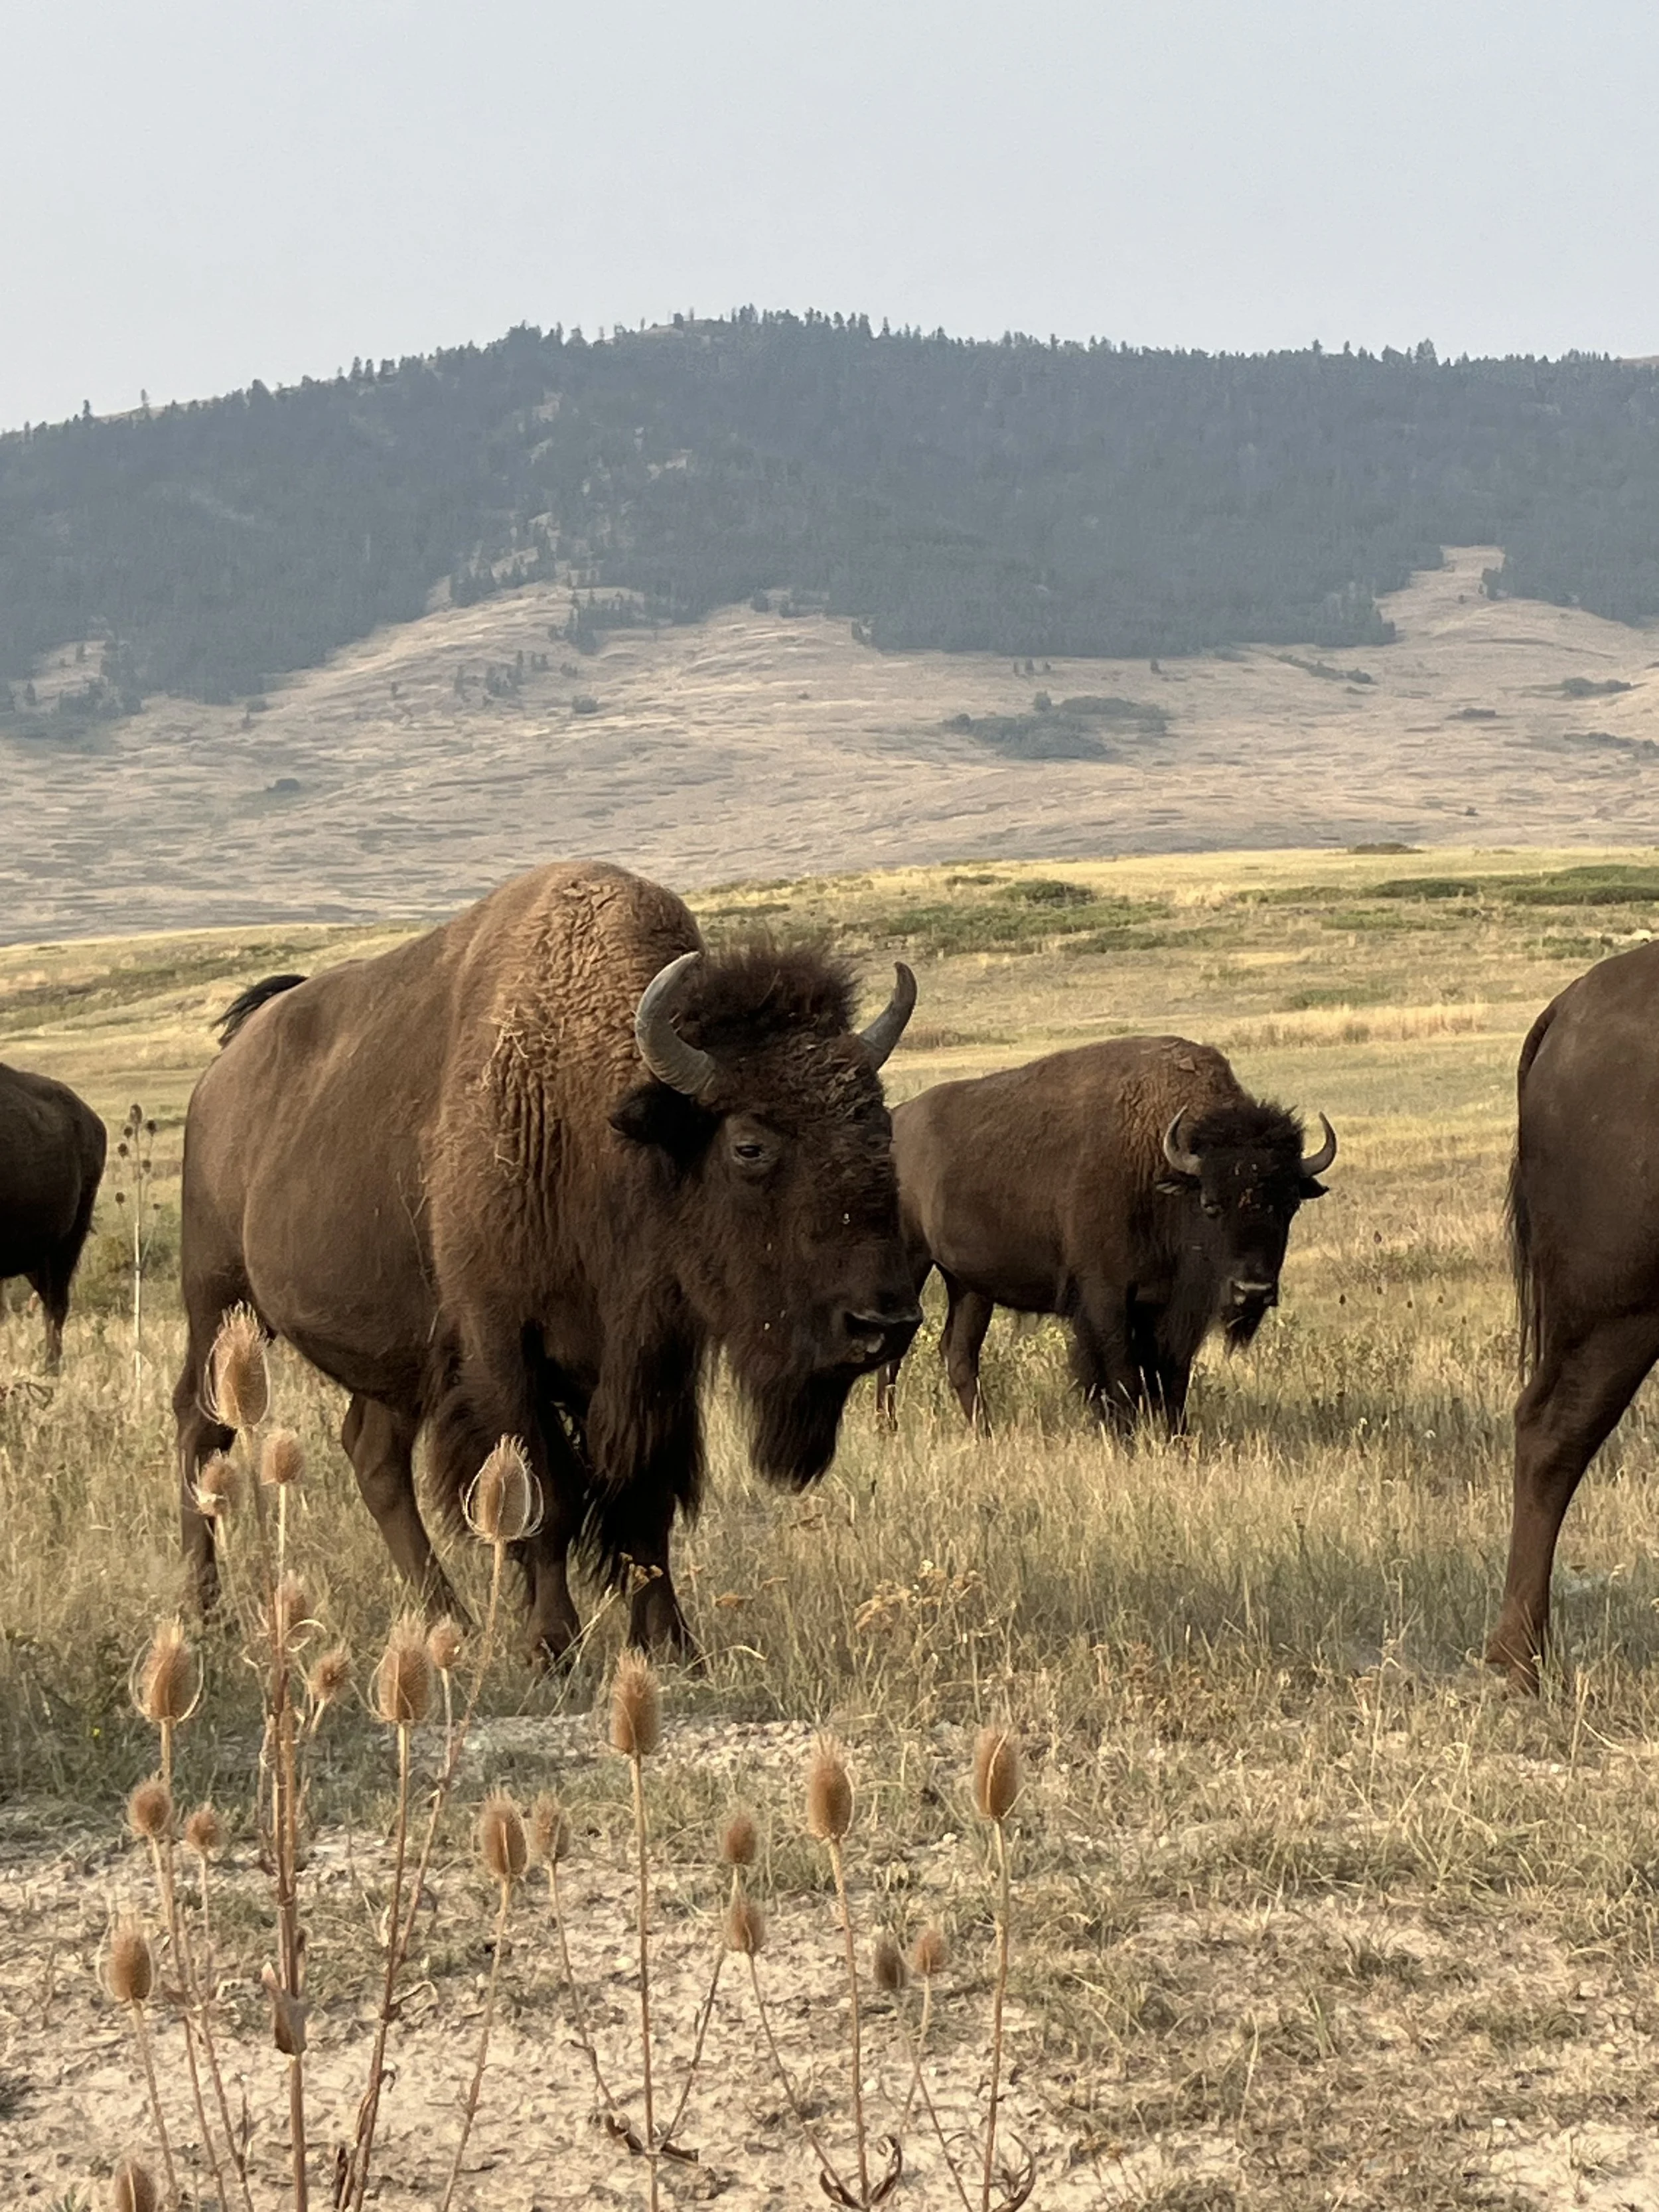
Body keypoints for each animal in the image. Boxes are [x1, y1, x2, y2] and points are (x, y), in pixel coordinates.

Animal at [175, 861, 920, 1657]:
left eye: (879, 1126)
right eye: (749, 1144)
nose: (884, 1321)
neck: (602, 1125)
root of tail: (221, 1073)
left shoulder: (654, 1362)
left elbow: (644, 1501)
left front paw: (673, 1646)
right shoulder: (501, 1347)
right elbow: (545, 1497)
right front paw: (550, 1645)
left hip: (392, 1356)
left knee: (373, 1455)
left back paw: (448, 1619)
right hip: (221, 1303)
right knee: (200, 1428)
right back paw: (205, 1611)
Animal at [876, 1036, 1334, 1429]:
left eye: (1290, 1205)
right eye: (1210, 1203)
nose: (1252, 1291)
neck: (1157, 1165)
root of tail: (896, 1122)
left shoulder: (1166, 1309)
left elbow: (1171, 1382)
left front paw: (1178, 1441)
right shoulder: (1106, 1299)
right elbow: (1121, 1379)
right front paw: (1125, 1440)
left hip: (969, 1285)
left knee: (959, 1354)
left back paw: (983, 1433)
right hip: (912, 1264)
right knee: (895, 1351)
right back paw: (888, 1429)